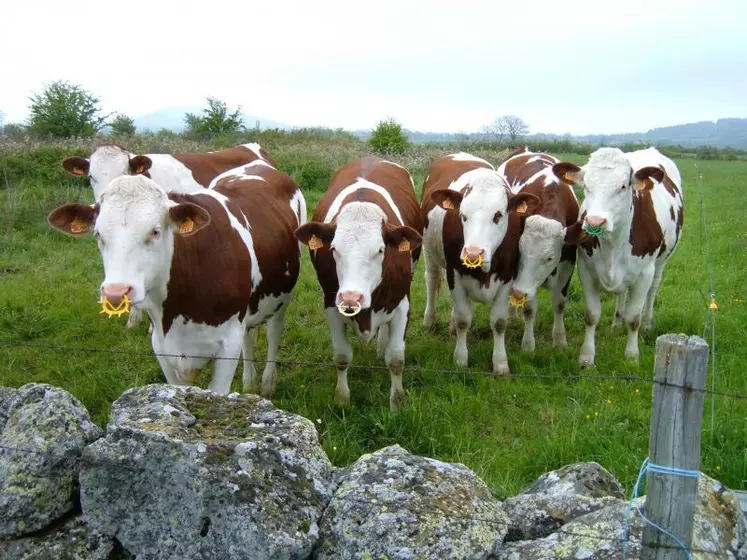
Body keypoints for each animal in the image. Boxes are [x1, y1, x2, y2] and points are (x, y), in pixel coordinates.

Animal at [46, 158, 306, 396]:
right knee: (249, 338)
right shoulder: (162, 345)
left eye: (155, 231)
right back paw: (249, 382)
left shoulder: (228, 344)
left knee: (273, 332)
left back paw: (268, 383)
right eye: (99, 234)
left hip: (281, 297)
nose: (116, 292)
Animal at [296, 155, 424, 410]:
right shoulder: (331, 304)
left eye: (380, 250)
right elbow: (342, 356)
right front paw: (342, 398)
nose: (351, 297)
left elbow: (396, 358)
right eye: (334, 249)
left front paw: (397, 402)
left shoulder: (402, 303)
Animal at [420, 151, 544, 374]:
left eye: (498, 215)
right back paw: (429, 320)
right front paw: (460, 359)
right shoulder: (454, 272)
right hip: (429, 250)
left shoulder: (507, 276)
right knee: (432, 280)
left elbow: (499, 321)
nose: (472, 253)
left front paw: (500, 364)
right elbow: (463, 319)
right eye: (462, 215)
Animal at [496, 147, 584, 352]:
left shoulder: (568, 261)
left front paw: (560, 340)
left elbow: (559, 303)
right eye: (520, 252)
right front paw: (528, 345)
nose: (519, 293)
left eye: (550, 258)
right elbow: (529, 308)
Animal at [556, 147, 684, 366]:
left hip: (661, 263)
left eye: (623, 186)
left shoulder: (644, 274)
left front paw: (632, 357)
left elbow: (633, 319)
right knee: (622, 294)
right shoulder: (585, 269)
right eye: (586, 186)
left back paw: (647, 325)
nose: (595, 222)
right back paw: (616, 322)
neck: (613, 245)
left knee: (653, 291)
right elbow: (591, 315)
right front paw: (587, 357)